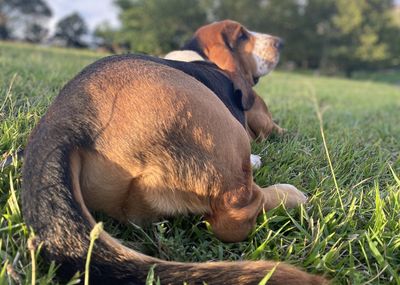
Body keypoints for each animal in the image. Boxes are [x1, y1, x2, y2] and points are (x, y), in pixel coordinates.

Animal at [21, 18, 326, 282]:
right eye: (242, 36)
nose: (280, 42)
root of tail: (65, 124)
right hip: (220, 126)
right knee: (236, 216)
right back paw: (290, 195)